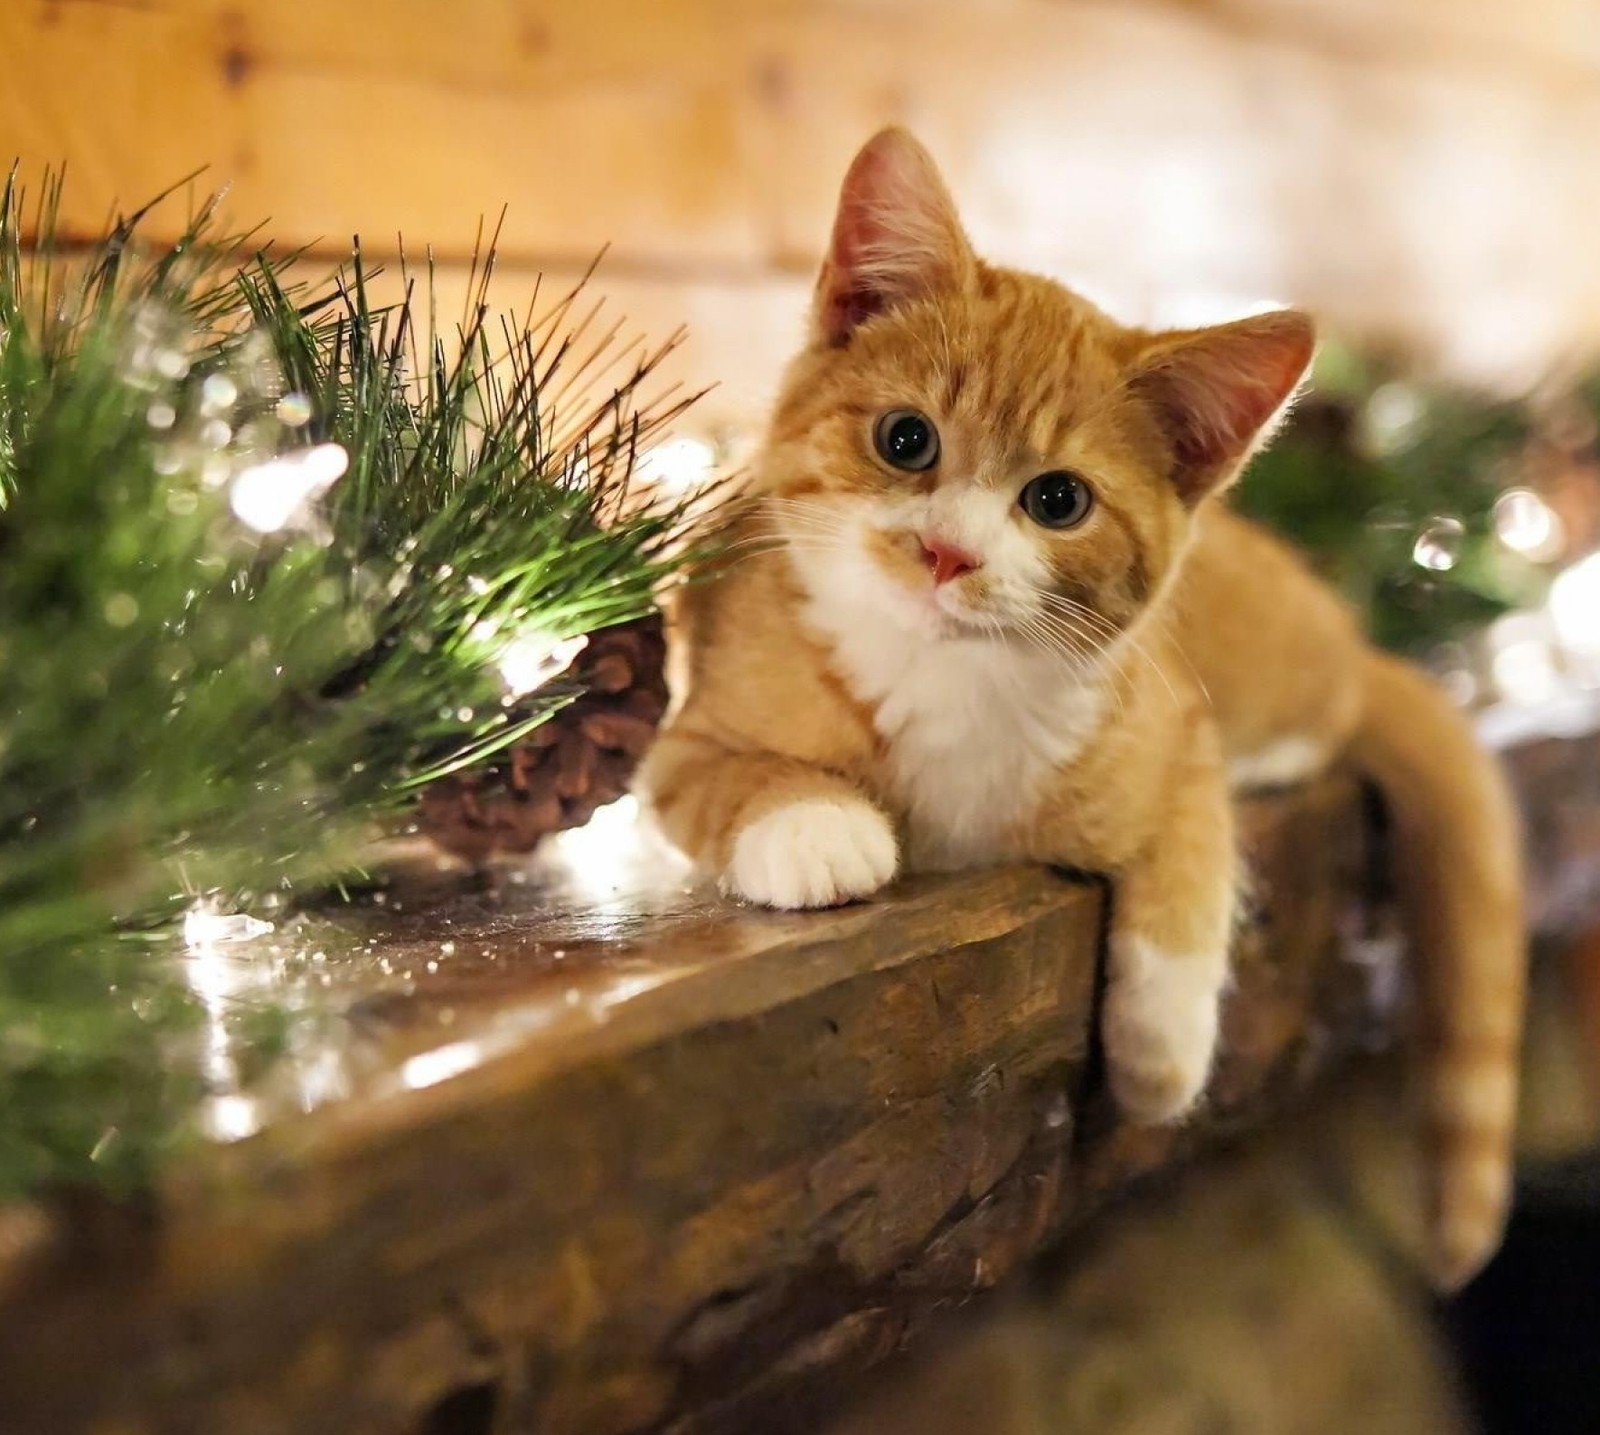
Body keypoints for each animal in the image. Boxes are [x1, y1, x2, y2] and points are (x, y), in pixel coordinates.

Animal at [636, 131, 1523, 1286]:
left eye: (1057, 500)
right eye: (906, 440)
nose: (947, 553)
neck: (942, 679)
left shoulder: (1173, 728)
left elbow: (1190, 862)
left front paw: (1161, 1048)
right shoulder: (682, 729)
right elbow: (720, 772)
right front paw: (812, 822)